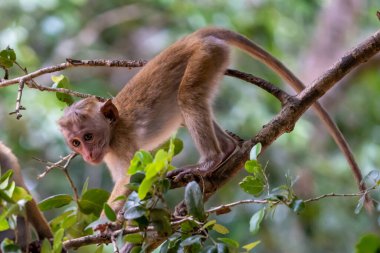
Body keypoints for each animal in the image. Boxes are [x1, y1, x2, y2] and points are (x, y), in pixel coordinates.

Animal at [58, 27, 326, 213]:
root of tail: (193, 37)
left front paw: (103, 226)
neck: (112, 130)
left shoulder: (121, 145)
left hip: (205, 56)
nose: (88, 155)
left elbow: (128, 180)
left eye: (88, 136)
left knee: (187, 97)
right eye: (75, 143)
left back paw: (210, 161)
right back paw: (227, 149)